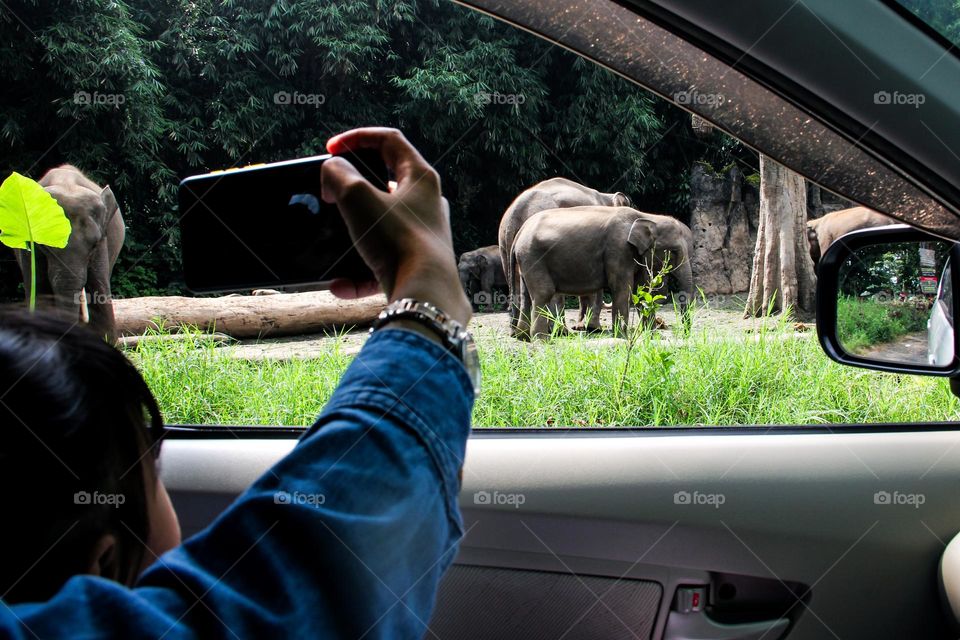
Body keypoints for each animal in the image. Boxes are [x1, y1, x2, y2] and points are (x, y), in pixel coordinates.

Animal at [498, 175, 632, 336]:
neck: (606, 197)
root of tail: (515, 213)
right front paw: (593, 328)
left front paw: (582, 327)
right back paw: (560, 331)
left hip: (504, 244)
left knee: (516, 280)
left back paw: (517, 332)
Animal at [512, 209, 692, 340]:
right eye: (673, 251)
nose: (686, 335)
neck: (647, 216)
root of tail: (520, 232)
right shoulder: (618, 250)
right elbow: (623, 290)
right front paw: (622, 338)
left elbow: (642, 290)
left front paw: (652, 337)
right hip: (534, 257)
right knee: (544, 293)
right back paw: (542, 340)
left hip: (526, 260)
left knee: (526, 295)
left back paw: (523, 337)